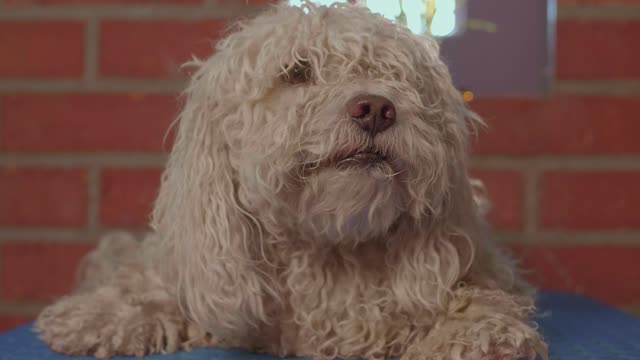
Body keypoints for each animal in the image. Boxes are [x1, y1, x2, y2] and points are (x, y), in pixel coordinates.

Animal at [35, 2, 548, 360]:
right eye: (297, 72)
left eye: (394, 75)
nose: (376, 108)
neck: (330, 252)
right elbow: (155, 292)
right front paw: (97, 314)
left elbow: (475, 302)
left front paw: (482, 333)